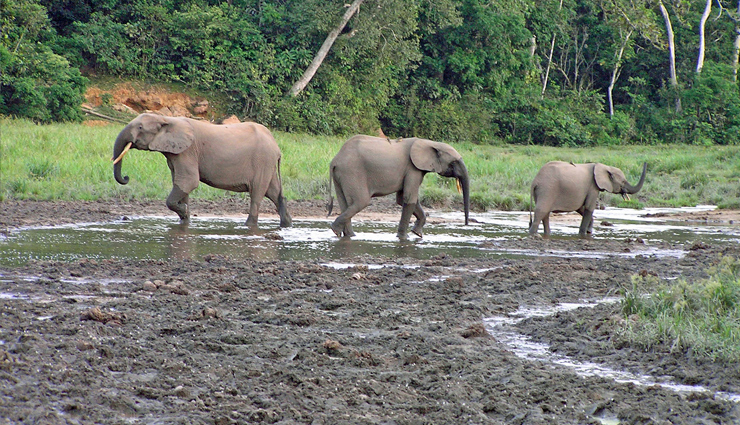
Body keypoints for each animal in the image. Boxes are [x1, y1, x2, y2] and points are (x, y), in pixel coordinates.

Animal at [112, 112, 292, 225]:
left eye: (140, 128)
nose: (126, 177)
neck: (166, 118)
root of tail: (276, 147)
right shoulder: (176, 154)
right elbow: (180, 184)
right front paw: (184, 219)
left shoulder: (187, 151)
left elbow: (188, 182)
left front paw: (184, 211)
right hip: (267, 163)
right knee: (274, 192)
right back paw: (286, 225)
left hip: (262, 160)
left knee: (257, 193)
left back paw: (248, 226)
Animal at [328, 135, 472, 238]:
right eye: (454, 163)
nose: (466, 224)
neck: (431, 143)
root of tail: (335, 159)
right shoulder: (413, 169)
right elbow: (409, 199)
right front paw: (404, 238)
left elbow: (403, 199)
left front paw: (417, 233)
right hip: (352, 172)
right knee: (361, 202)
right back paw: (336, 231)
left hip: (341, 174)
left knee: (345, 203)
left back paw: (349, 235)